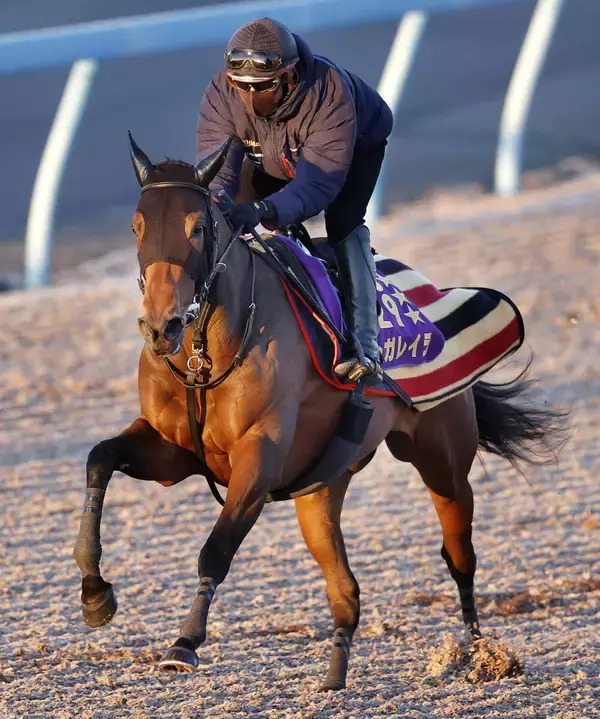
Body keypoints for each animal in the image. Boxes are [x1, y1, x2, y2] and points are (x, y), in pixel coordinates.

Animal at [73, 136, 565, 690]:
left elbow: (216, 548)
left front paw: (185, 642)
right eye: (136, 226)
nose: (161, 326)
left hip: (442, 461)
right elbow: (99, 458)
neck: (206, 354)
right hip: (321, 490)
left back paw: (481, 653)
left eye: (196, 227)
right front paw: (95, 593)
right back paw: (333, 679)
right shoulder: (174, 452)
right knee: (346, 591)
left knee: (459, 554)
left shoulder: (259, 459)